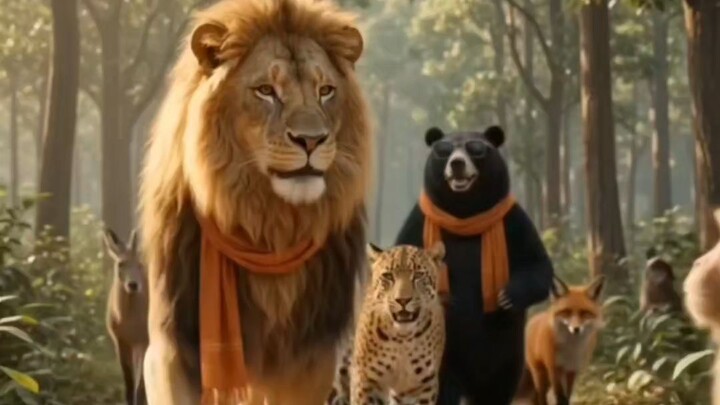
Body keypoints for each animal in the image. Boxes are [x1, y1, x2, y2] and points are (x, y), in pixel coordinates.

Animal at [138, 0, 372, 403]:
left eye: (326, 90)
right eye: (265, 90)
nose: (312, 140)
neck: (268, 227)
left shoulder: (309, 360)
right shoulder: (172, 347)